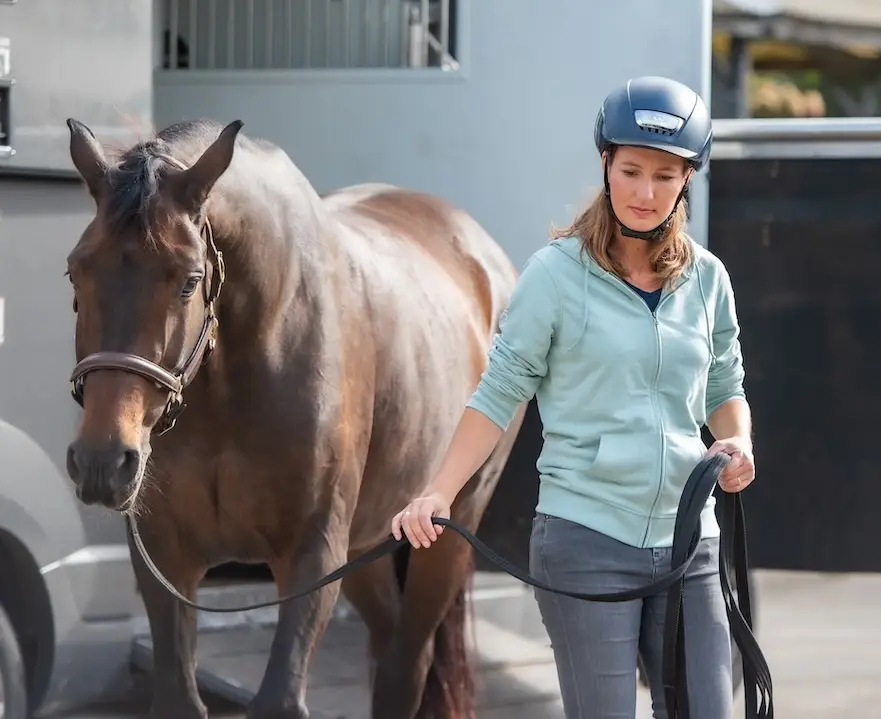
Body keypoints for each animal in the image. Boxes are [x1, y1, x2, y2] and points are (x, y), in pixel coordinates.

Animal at [62, 117, 525, 719]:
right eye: (75, 271)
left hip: (447, 531)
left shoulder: (313, 555)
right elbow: (179, 694)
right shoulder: (165, 561)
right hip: (368, 545)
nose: (102, 461)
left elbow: (279, 698)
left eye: (188, 279)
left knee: (407, 663)